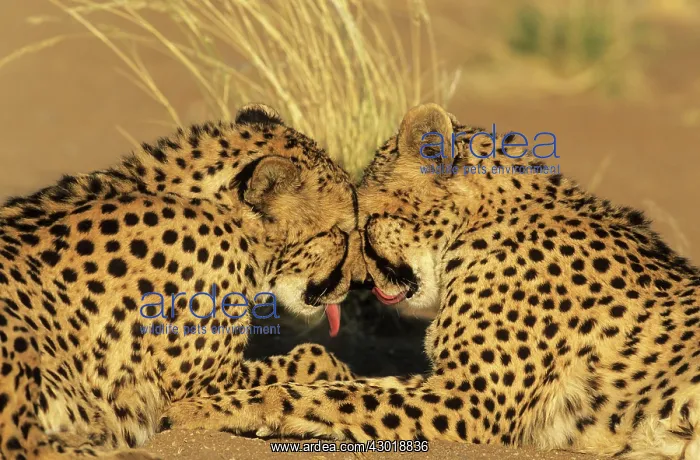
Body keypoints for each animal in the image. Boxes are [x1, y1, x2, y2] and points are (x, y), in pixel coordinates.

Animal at [157, 103, 700, 460]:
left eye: (365, 219)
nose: (357, 281)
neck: (481, 225)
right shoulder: (450, 383)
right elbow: (348, 384)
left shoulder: (472, 399)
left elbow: (326, 394)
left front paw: (196, 409)